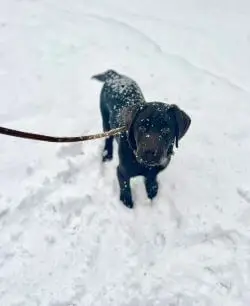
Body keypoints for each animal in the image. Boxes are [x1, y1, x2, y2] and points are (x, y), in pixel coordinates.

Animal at [92, 69, 191, 208]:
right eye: (141, 127)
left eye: (166, 130)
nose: (149, 152)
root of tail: (115, 75)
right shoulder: (122, 171)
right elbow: (125, 186)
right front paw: (127, 202)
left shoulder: (156, 169)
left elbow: (152, 178)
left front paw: (152, 190)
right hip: (105, 116)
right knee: (108, 137)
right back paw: (107, 154)